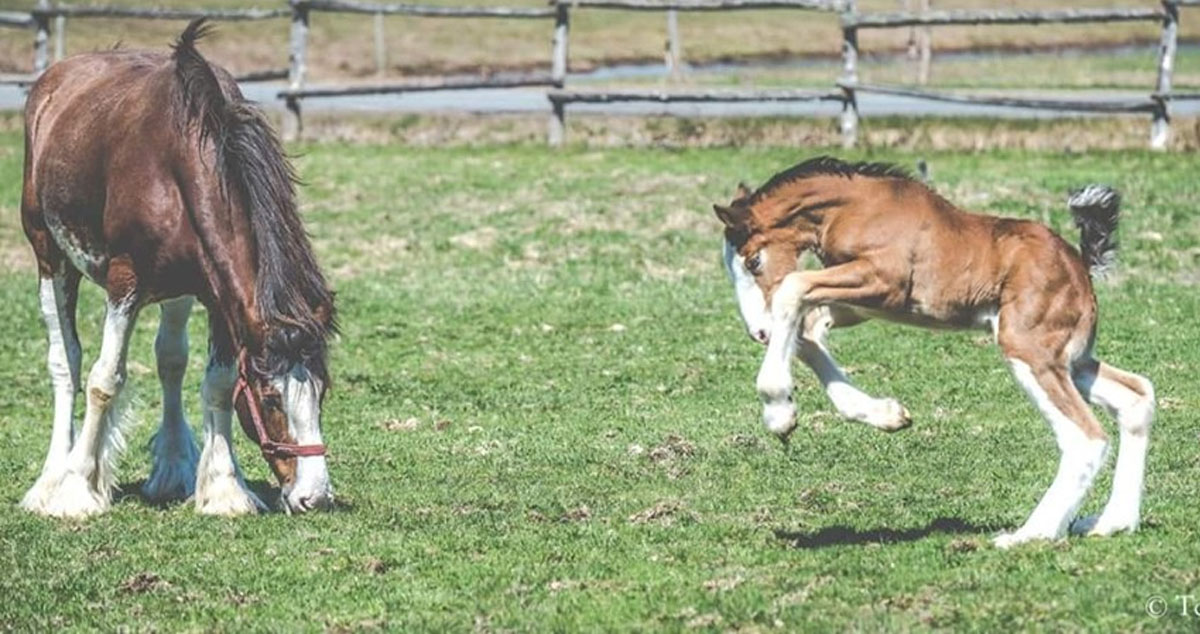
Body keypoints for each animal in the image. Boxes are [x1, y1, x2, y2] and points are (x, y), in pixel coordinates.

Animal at [21, 19, 338, 518]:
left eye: (322, 391)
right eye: (271, 399)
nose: (315, 496)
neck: (177, 163)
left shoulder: (219, 296)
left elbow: (218, 382)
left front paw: (225, 488)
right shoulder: (124, 282)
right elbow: (103, 380)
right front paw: (75, 491)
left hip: (180, 290)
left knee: (170, 359)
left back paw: (171, 469)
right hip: (49, 256)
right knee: (65, 362)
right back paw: (51, 479)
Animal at [715, 156, 1156, 547]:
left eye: (753, 261)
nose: (759, 332)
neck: (855, 208)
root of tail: (1081, 264)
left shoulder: (883, 281)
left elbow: (792, 291)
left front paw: (777, 411)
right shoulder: (863, 301)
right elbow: (806, 331)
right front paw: (884, 414)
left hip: (1029, 350)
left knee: (1085, 435)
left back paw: (1031, 534)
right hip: (1073, 361)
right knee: (1135, 396)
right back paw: (1112, 523)